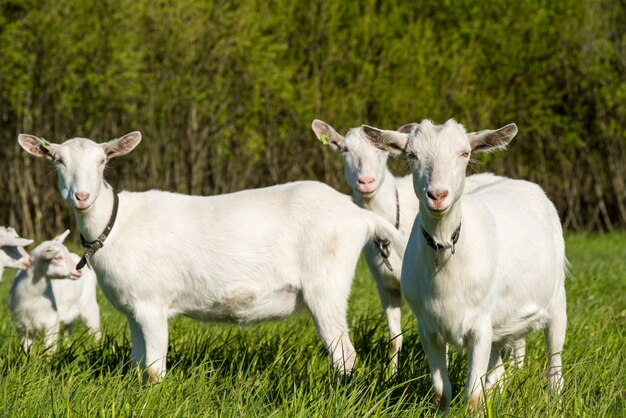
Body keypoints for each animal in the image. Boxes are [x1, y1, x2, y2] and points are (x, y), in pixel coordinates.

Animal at [19, 132, 402, 384]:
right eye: (57, 160)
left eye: (103, 162)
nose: (82, 197)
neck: (114, 225)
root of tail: (356, 215)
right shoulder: (134, 310)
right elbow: (137, 365)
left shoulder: (152, 305)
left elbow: (154, 371)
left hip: (327, 284)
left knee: (345, 355)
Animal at [360, 120, 564, 412]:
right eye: (412, 155)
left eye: (464, 153)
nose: (437, 195)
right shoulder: (428, 328)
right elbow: (441, 392)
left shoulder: (480, 326)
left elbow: (473, 396)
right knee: (498, 368)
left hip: (557, 298)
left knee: (554, 359)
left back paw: (555, 399)